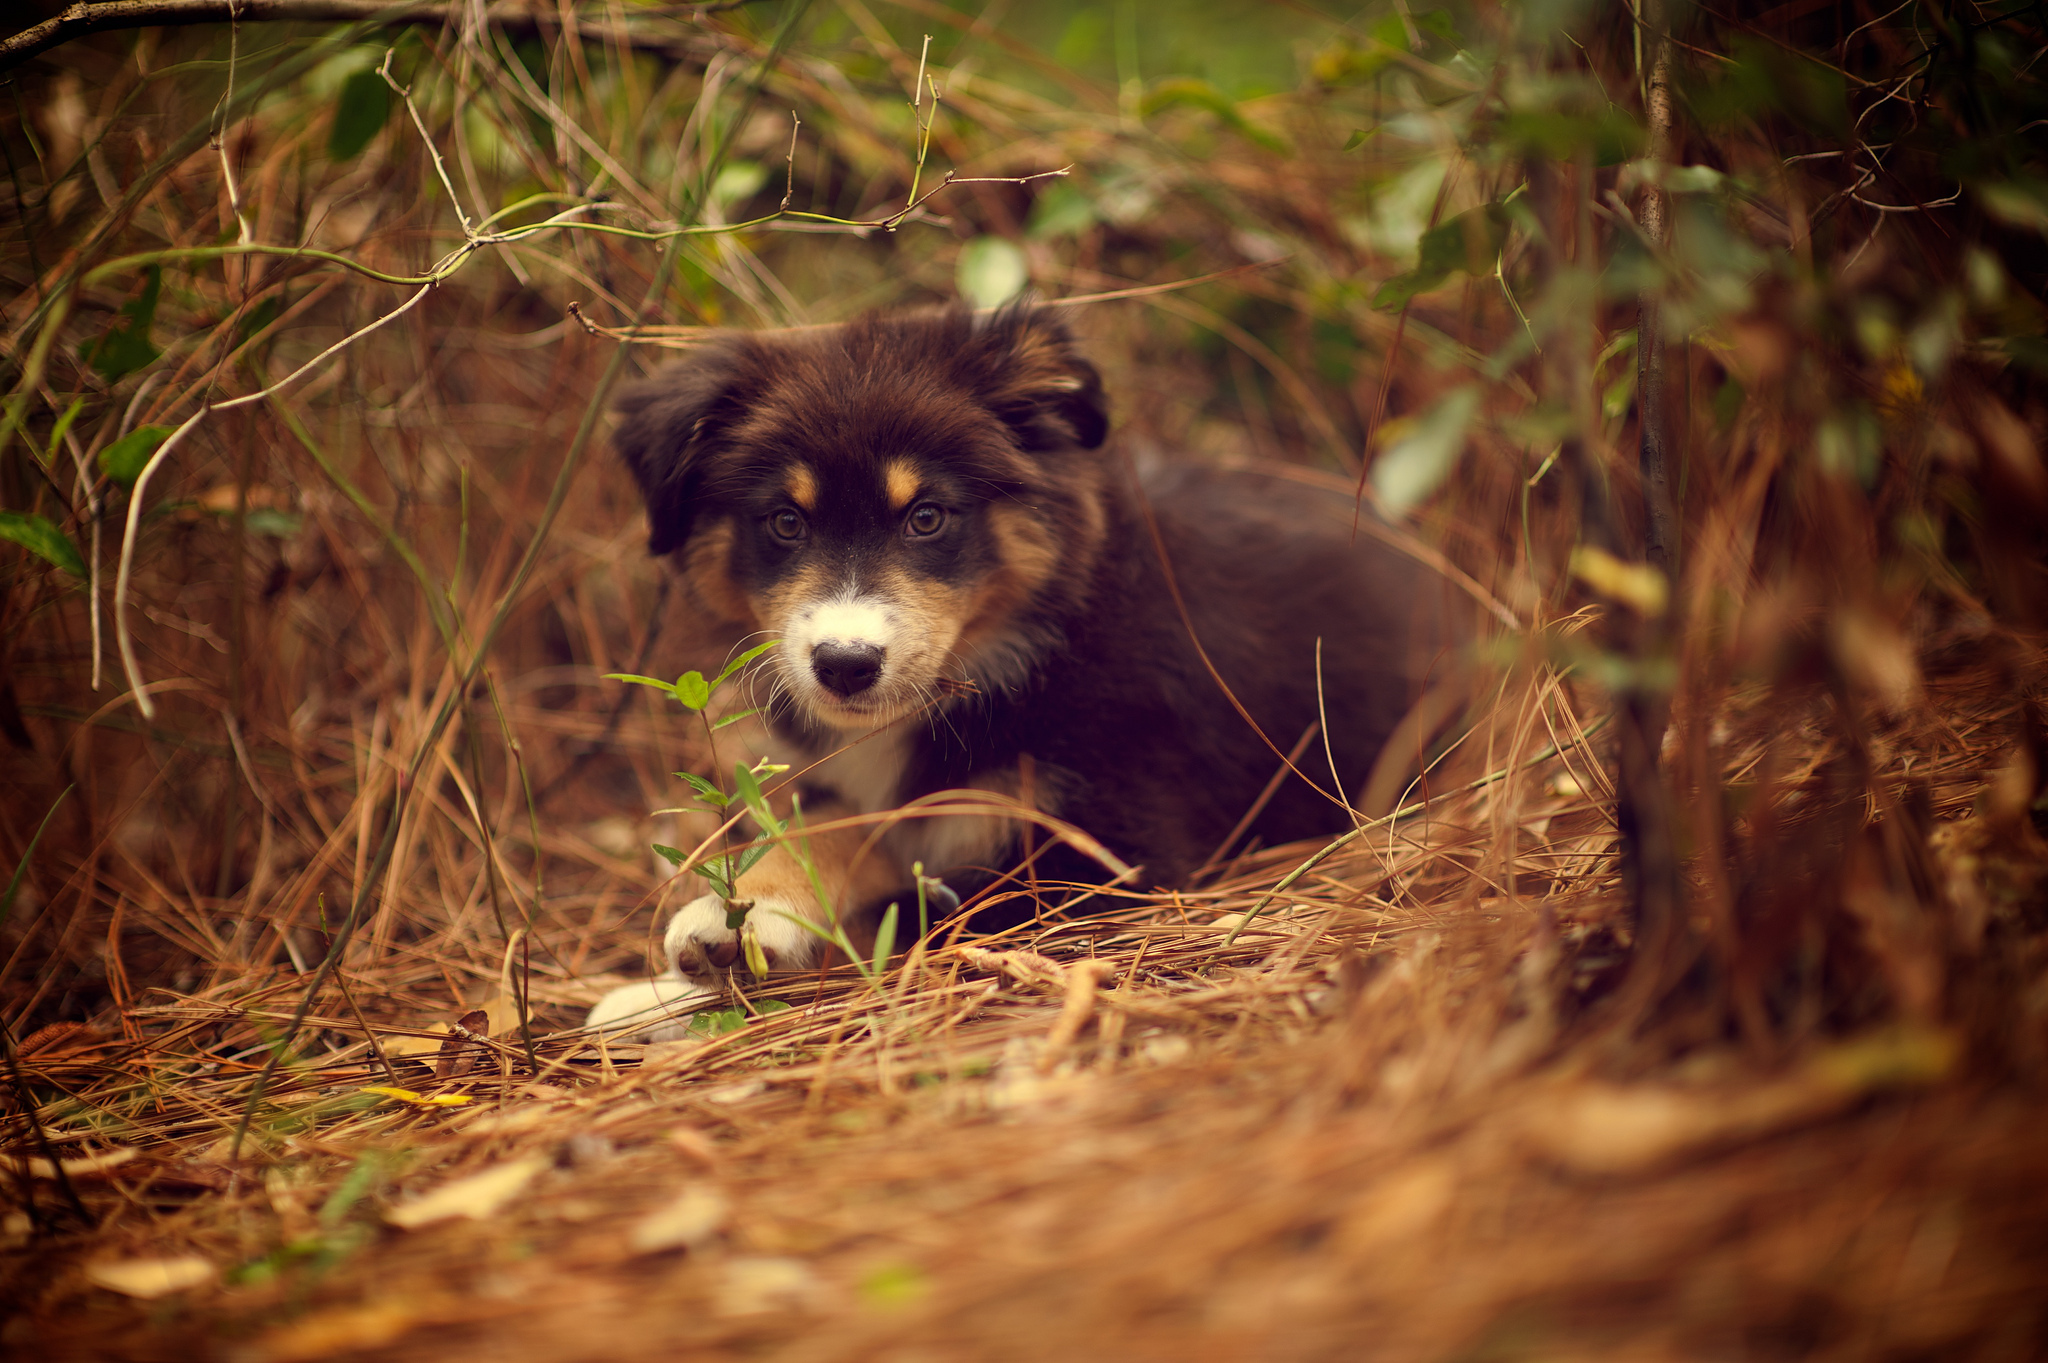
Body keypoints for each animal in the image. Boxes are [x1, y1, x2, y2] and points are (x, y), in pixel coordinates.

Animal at [585, 304, 1466, 1031]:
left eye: (927, 517)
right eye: (785, 521)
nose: (845, 665)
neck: (1004, 659)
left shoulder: (1110, 863)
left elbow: (913, 918)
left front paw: (668, 992)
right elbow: (843, 830)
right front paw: (738, 917)